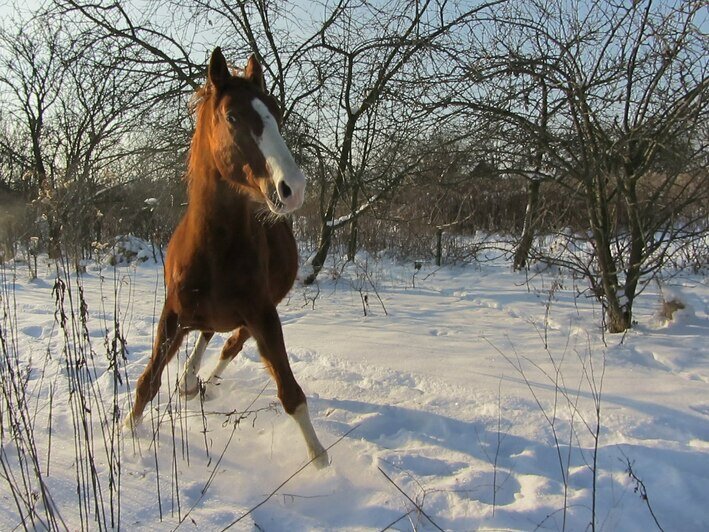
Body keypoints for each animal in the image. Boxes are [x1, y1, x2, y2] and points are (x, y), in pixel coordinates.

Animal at [125, 47, 330, 468]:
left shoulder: (263, 314)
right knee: (205, 334)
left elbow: (291, 393)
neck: (214, 249)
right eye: (233, 116)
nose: (293, 188)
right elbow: (147, 382)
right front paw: (126, 435)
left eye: (276, 111)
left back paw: (198, 380)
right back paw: (188, 380)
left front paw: (319, 458)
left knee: (227, 343)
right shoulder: (172, 313)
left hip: (255, 313)